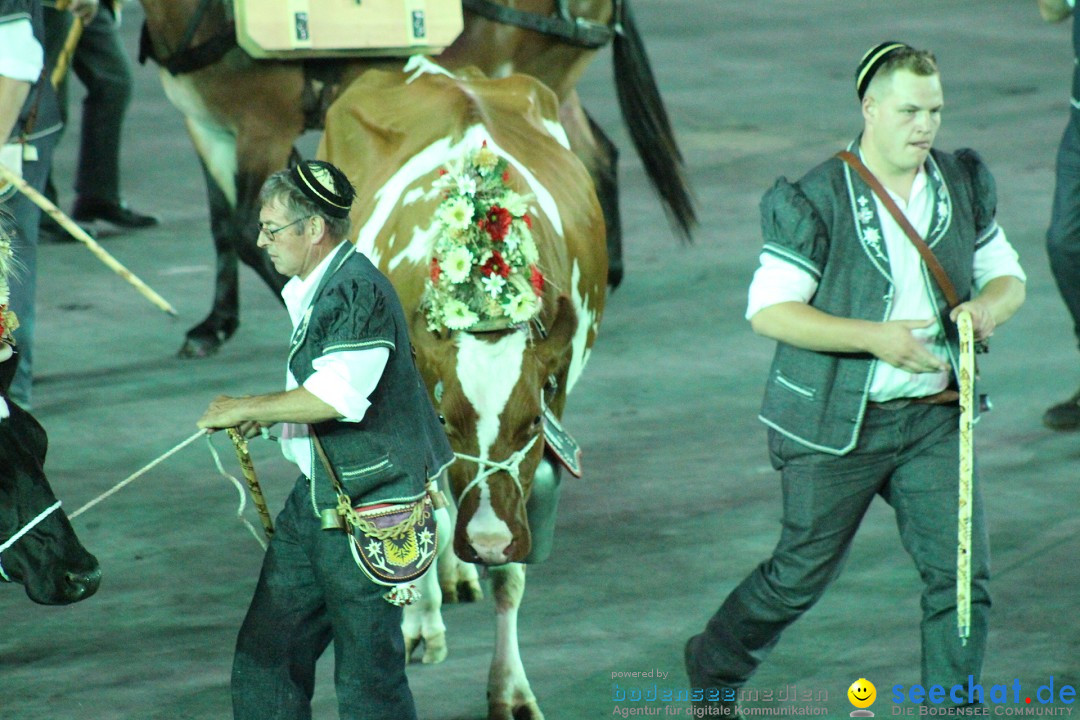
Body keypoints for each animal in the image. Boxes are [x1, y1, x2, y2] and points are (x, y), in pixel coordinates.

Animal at [319, 57, 609, 720]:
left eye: (533, 421)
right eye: (447, 419)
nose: (490, 541)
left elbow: (511, 577)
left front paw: (511, 690)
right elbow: (410, 514)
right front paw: (421, 621)